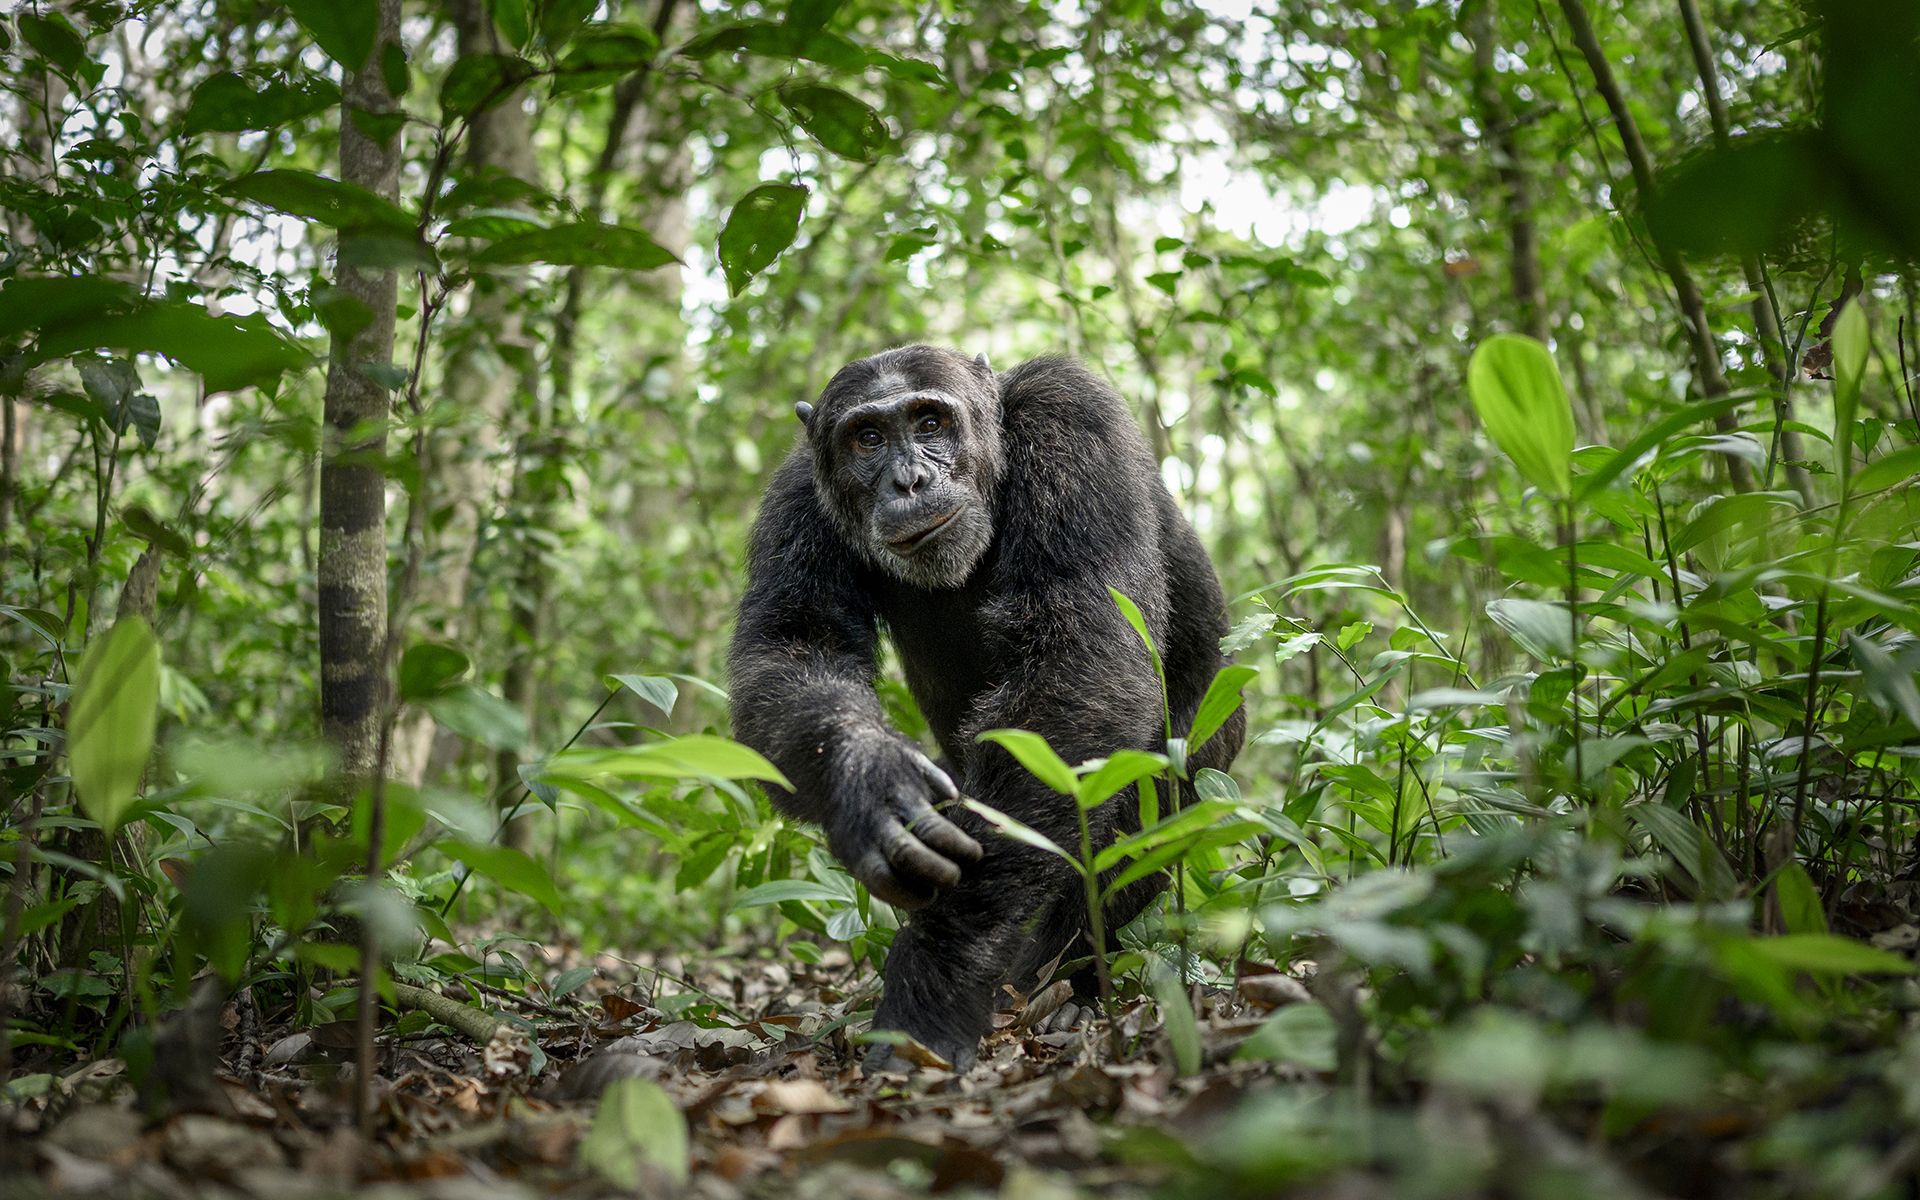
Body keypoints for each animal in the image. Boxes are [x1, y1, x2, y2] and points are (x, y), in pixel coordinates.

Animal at [721, 345, 1244, 1067]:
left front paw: (935, 985)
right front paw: (870, 784)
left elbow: (1082, 660)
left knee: (1148, 803)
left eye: (931, 422)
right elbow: (795, 646)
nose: (909, 480)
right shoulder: (797, 496)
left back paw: (1063, 987)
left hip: (1213, 743)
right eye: (868, 438)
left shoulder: (1073, 421)